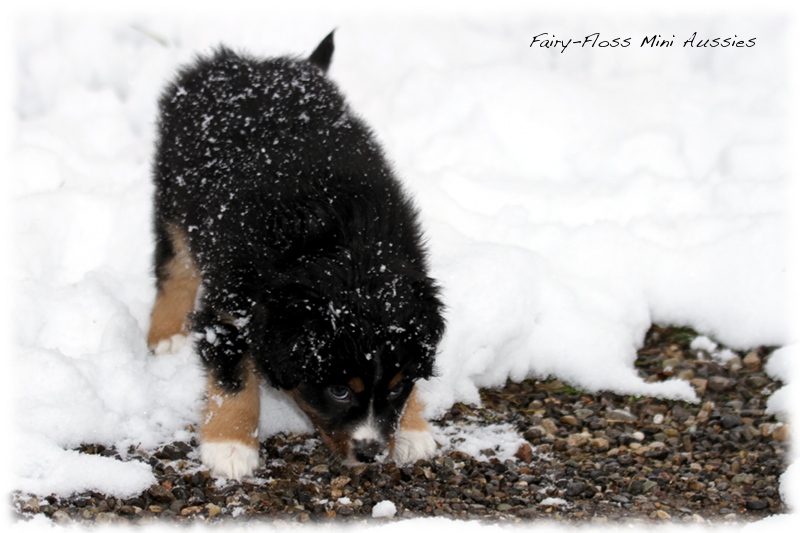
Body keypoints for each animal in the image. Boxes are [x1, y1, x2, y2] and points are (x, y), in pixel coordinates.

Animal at [144, 31, 444, 476]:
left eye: (395, 390)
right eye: (339, 390)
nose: (371, 454)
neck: (343, 243)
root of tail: (249, 63)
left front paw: (414, 428)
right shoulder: (231, 305)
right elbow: (234, 378)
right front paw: (230, 447)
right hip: (175, 197)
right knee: (174, 266)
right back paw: (165, 335)